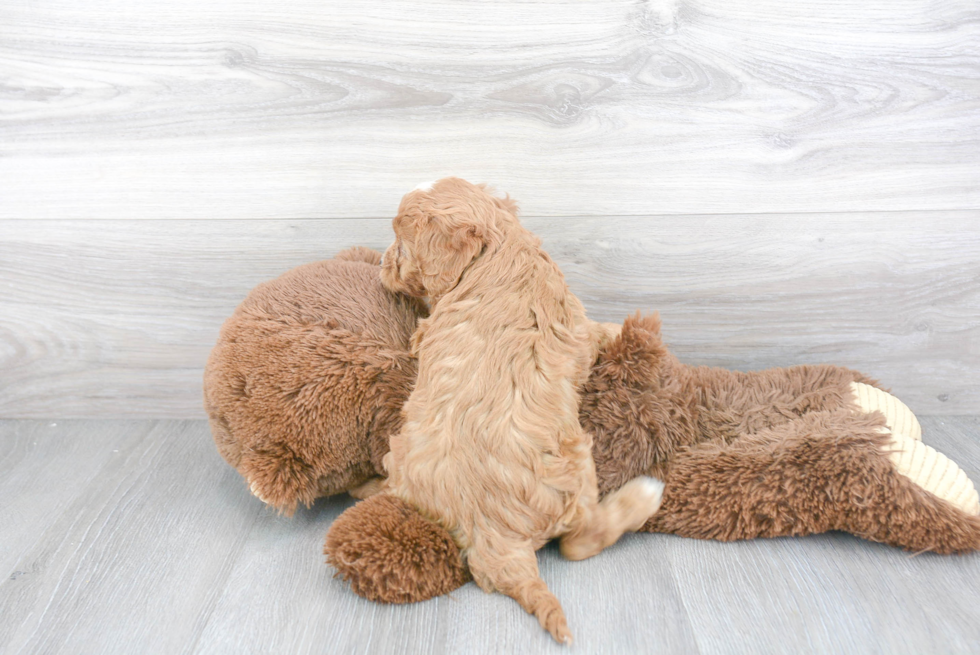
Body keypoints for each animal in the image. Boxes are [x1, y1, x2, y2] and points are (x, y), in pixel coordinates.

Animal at [378, 177, 664, 644]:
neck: (498, 246)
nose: (381, 265)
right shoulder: (577, 327)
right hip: (576, 463)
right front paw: (620, 329)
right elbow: (597, 332)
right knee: (579, 541)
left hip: (401, 453)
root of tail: (494, 538)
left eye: (401, 241)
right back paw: (642, 496)